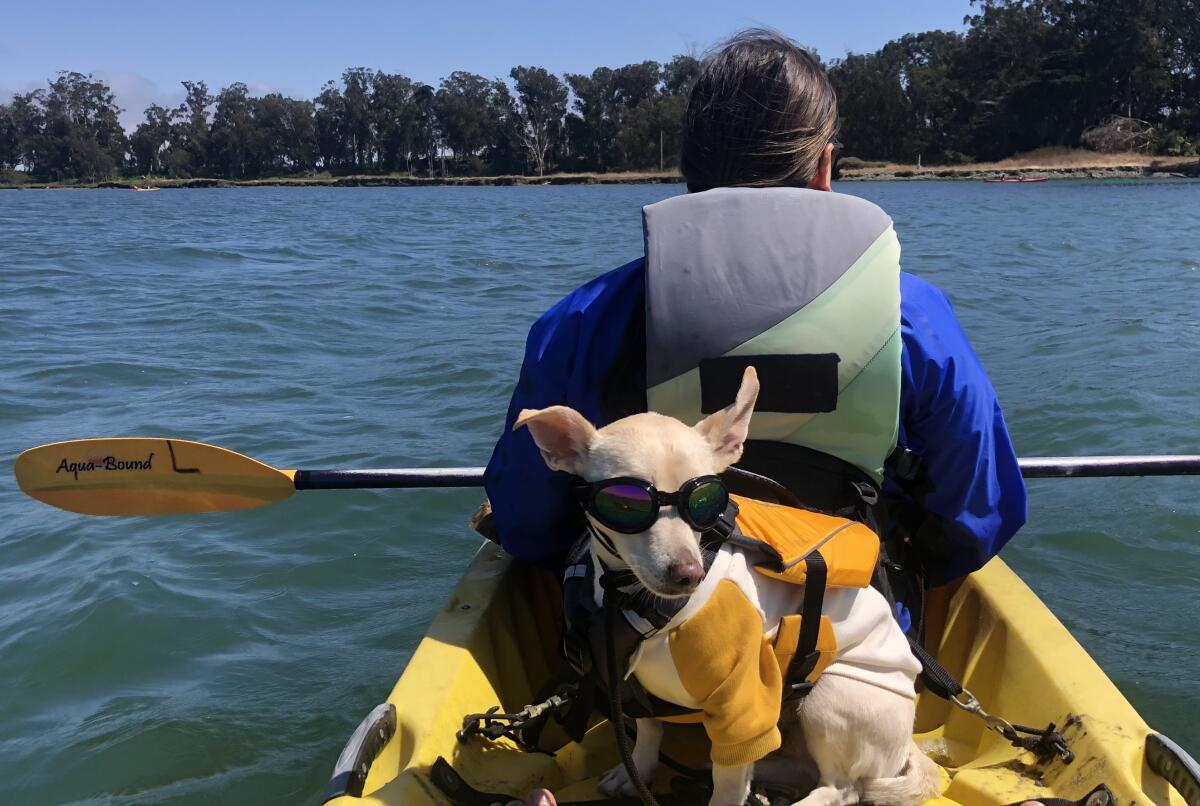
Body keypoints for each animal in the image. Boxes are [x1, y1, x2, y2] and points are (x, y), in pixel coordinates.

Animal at [511, 367, 940, 806]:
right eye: (625, 504)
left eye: (705, 499)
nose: (688, 573)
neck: (632, 600)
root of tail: (907, 744)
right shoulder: (638, 691)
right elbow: (648, 735)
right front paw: (636, 775)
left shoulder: (741, 708)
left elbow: (729, 784)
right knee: (799, 765)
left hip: (830, 694)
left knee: (843, 788)